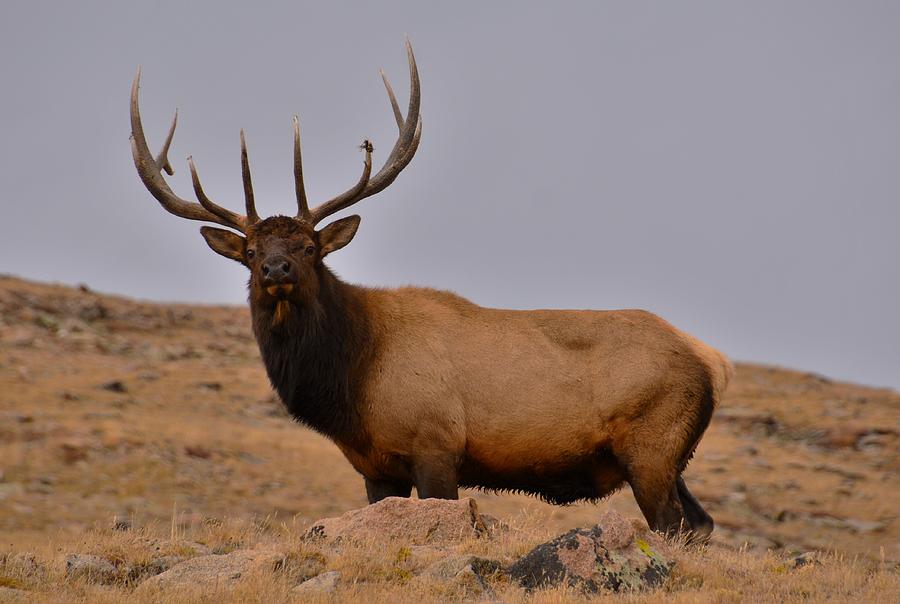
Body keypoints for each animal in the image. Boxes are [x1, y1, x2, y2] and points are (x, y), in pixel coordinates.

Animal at [130, 40, 732, 540]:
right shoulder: (375, 466)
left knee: (674, 525)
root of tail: (713, 361)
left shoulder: (436, 443)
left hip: (652, 447)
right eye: (251, 253)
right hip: (671, 458)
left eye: (308, 247)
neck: (349, 380)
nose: (277, 269)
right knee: (700, 525)